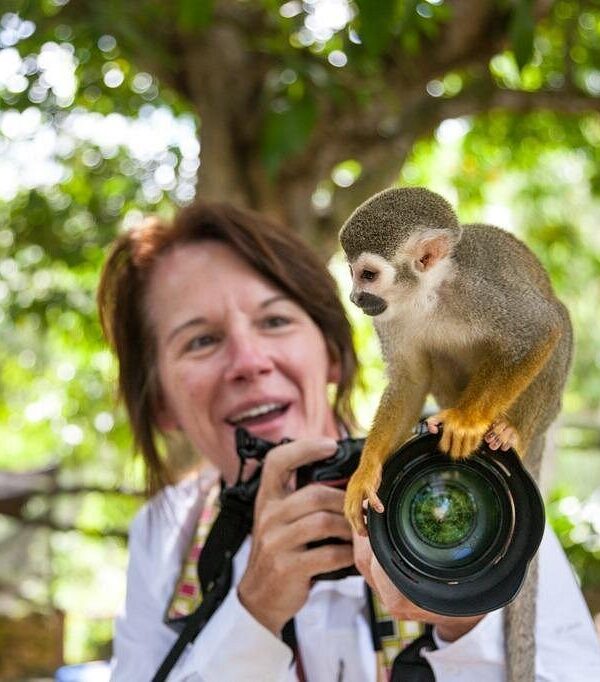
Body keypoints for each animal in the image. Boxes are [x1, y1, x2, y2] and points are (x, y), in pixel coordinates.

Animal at [339, 186, 573, 535]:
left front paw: (466, 421)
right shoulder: (387, 317)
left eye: (368, 275)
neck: (428, 294)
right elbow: (410, 380)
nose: (355, 298)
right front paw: (367, 471)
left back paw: (511, 431)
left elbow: (540, 329)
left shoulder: (479, 290)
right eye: (352, 273)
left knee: (557, 320)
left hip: (548, 412)